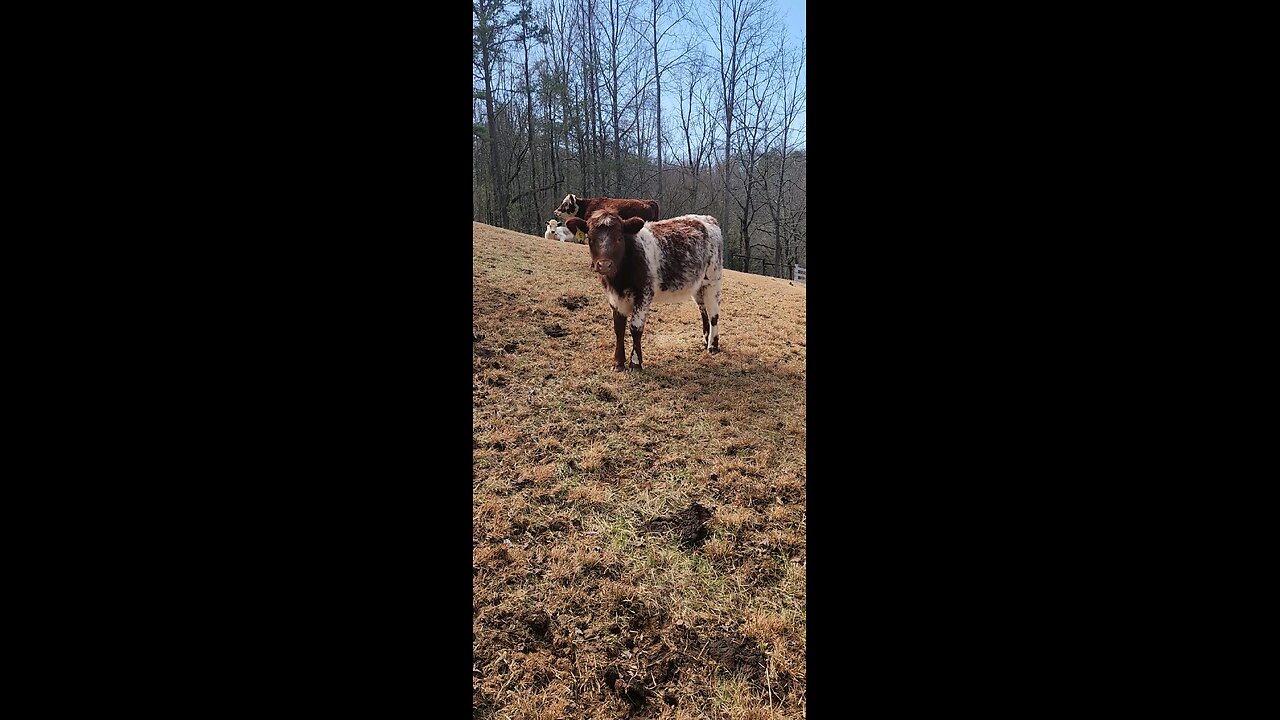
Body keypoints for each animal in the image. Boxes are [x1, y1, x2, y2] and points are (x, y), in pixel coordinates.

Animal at [565, 208, 727, 368]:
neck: (619, 280)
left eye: (619, 238)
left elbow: (635, 328)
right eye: (590, 239)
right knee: (703, 310)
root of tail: (707, 218)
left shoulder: (644, 294)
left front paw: (635, 362)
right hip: (699, 286)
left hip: (712, 281)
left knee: (713, 315)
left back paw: (712, 346)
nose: (604, 265)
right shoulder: (613, 297)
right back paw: (706, 340)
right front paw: (618, 362)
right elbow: (619, 328)